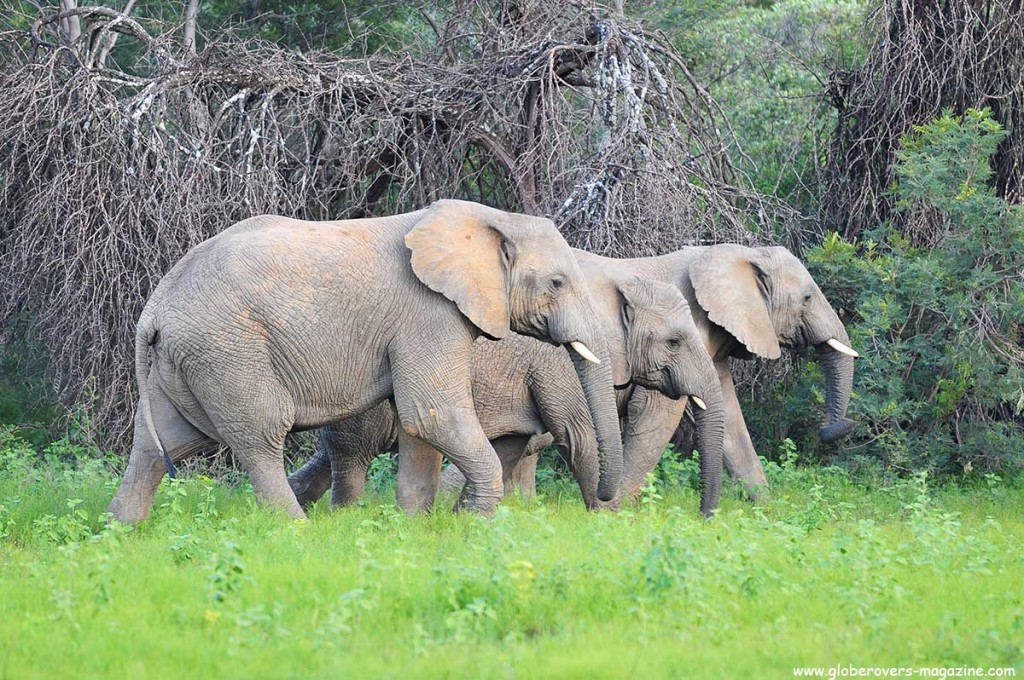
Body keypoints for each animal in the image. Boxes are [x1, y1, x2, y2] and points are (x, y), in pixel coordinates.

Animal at [110, 199, 622, 522]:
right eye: (557, 283)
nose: (604, 504)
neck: (489, 219)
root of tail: (156, 304)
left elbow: (419, 426)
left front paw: (416, 525)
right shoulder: (428, 313)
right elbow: (431, 413)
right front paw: (473, 524)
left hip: (184, 358)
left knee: (164, 441)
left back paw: (122, 531)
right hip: (227, 350)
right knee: (260, 435)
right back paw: (295, 531)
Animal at [288, 260, 729, 516]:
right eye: (674, 342)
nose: (705, 518)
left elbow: (511, 445)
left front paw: (464, 519)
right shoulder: (558, 364)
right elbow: (580, 434)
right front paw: (608, 520)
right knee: (352, 459)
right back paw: (345, 518)